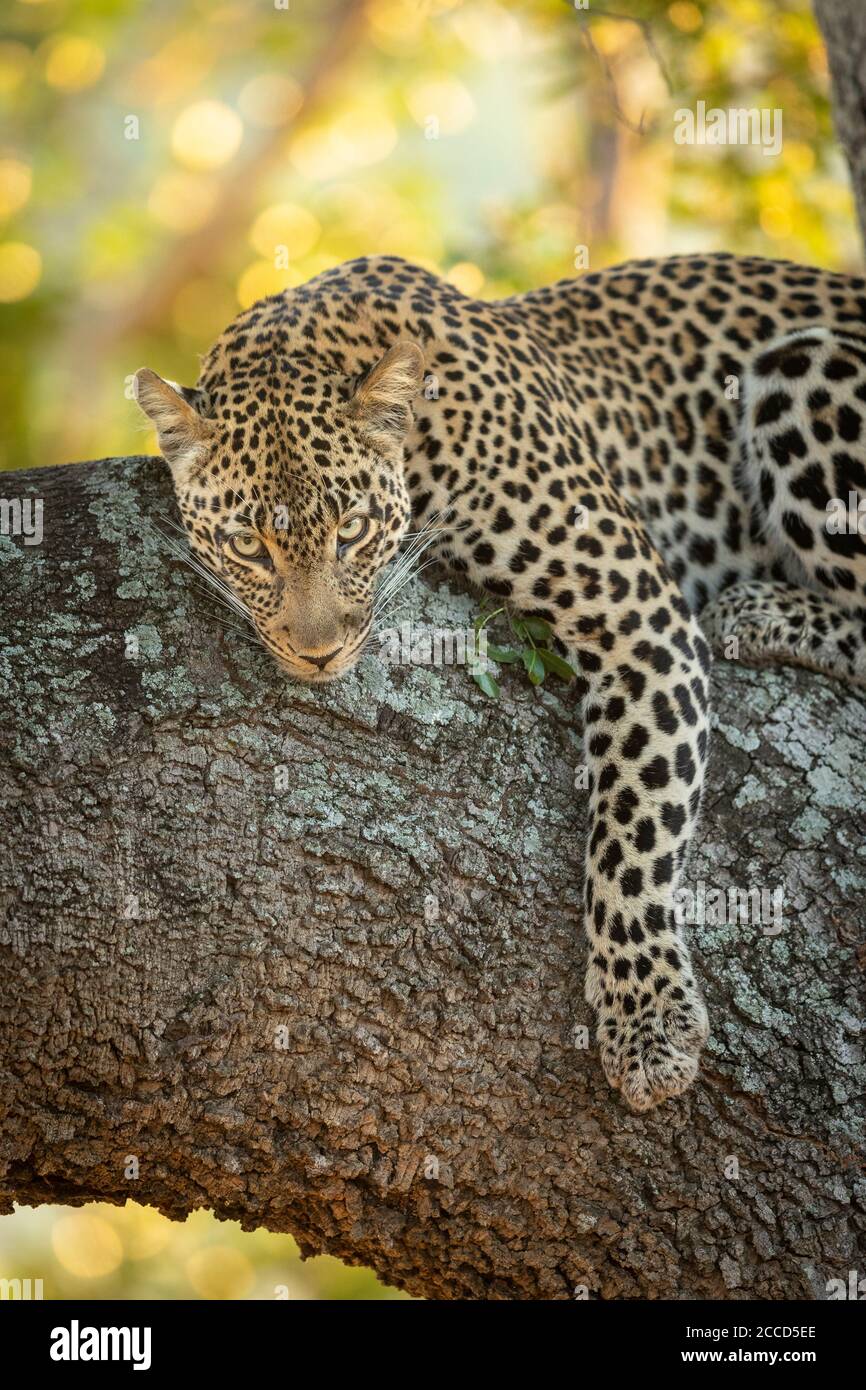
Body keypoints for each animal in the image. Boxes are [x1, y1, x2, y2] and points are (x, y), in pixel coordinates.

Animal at [134, 250, 866, 1112]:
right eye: (248, 545)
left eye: (352, 530)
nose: (319, 653)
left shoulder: (640, 615)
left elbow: (634, 830)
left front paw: (646, 1018)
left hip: (806, 364)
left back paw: (762, 611)